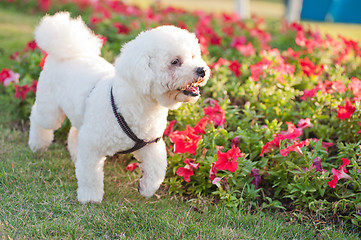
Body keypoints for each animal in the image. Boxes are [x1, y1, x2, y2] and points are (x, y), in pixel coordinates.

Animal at [29, 12, 210, 203]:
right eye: (175, 61)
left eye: (193, 56)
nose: (202, 70)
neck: (138, 107)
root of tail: (67, 52)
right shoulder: (92, 145)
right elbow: (89, 175)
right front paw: (90, 197)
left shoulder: (151, 144)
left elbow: (157, 170)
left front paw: (145, 188)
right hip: (50, 110)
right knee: (38, 118)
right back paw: (37, 145)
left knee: (75, 132)